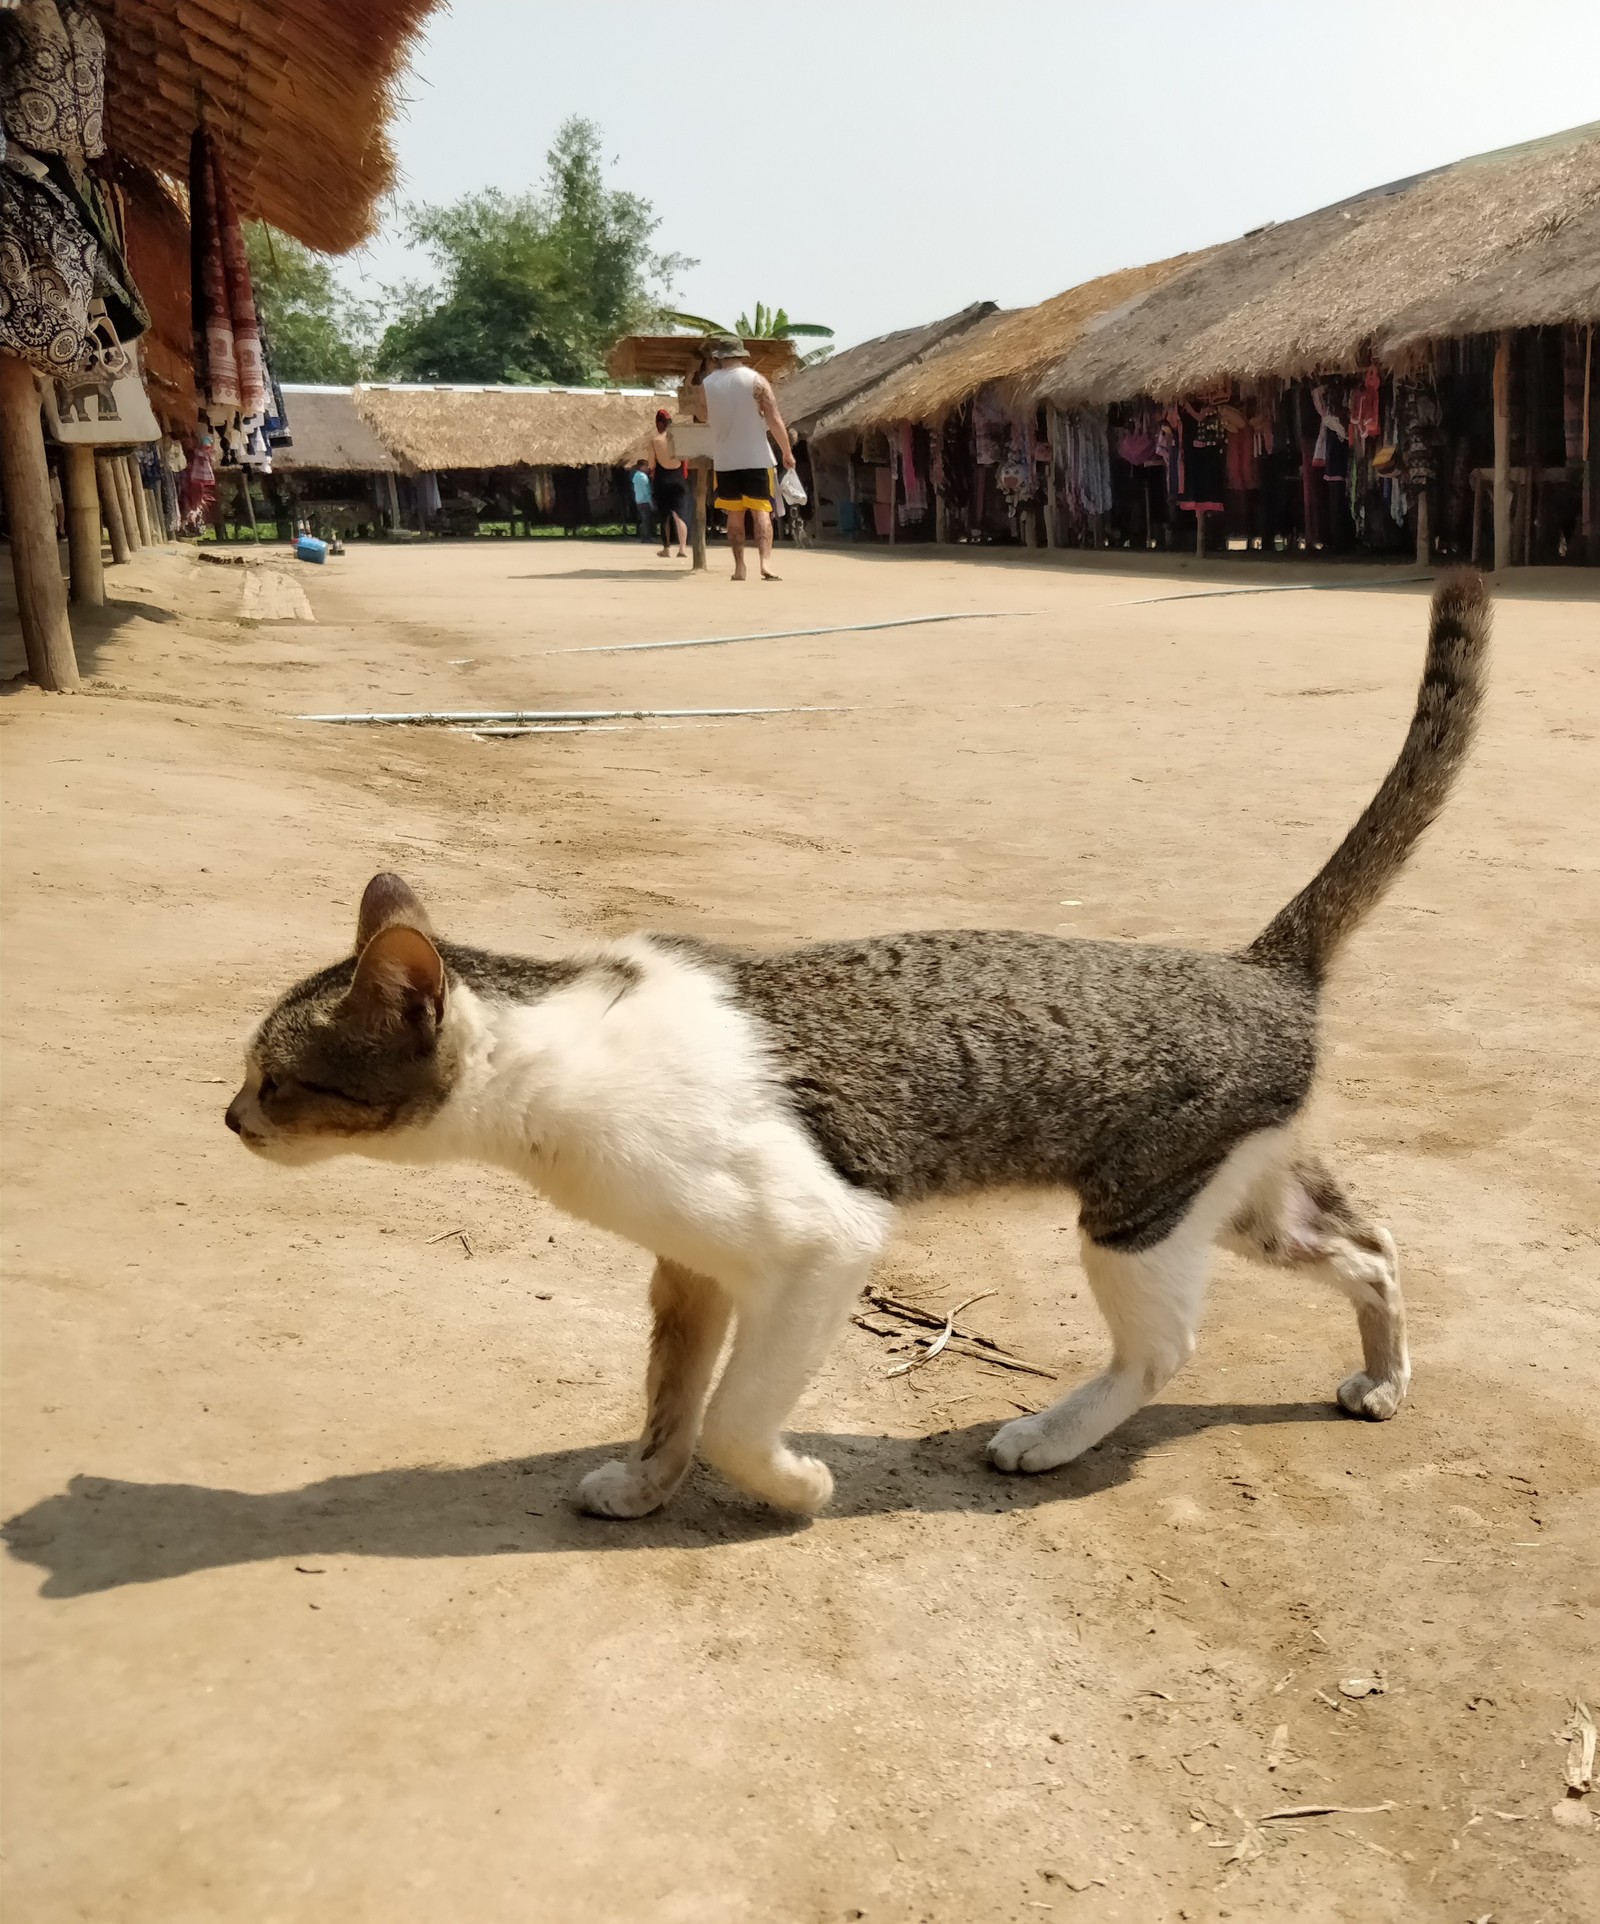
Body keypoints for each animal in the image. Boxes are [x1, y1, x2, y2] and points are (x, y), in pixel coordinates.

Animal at [225, 569, 1484, 1516]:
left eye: (279, 1080)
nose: (227, 1117)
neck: (553, 1067)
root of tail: (1256, 965)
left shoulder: (821, 1240)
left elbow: (734, 1417)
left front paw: (793, 1487)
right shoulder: (690, 1266)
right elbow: (670, 1399)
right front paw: (643, 1487)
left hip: (1135, 1215)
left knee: (1161, 1352)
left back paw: (1048, 1435)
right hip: (1227, 1194)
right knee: (1372, 1247)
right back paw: (1384, 1378)